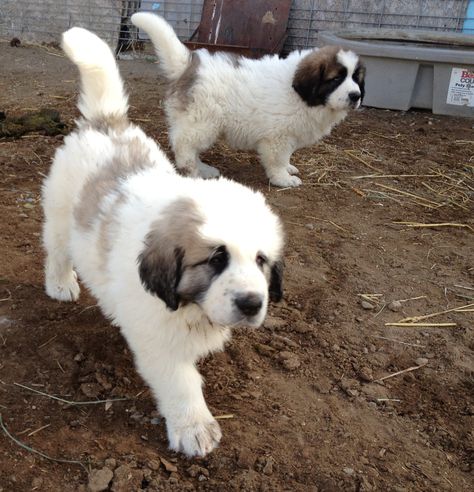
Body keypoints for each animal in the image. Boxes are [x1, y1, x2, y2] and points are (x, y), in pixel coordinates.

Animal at [42, 26, 284, 458]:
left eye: (261, 261)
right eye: (216, 259)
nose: (252, 304)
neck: (191, 307)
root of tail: (106, 122)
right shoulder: (155, 335)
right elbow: (180, 381)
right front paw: (195, 428)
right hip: (58, 215)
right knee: (55, 251)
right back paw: (60, 284)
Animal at [131, 12, 364, 188]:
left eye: (356, 78)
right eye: (336, 79)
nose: (356, 96)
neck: (301, 94)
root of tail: (188, 65)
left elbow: (287, 156)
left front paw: (289, 168)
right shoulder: (278, 138)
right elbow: (278, 160)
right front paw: (284, 179)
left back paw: (204, 169)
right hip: (203, 121)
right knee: (184, 145)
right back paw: (193, 171)